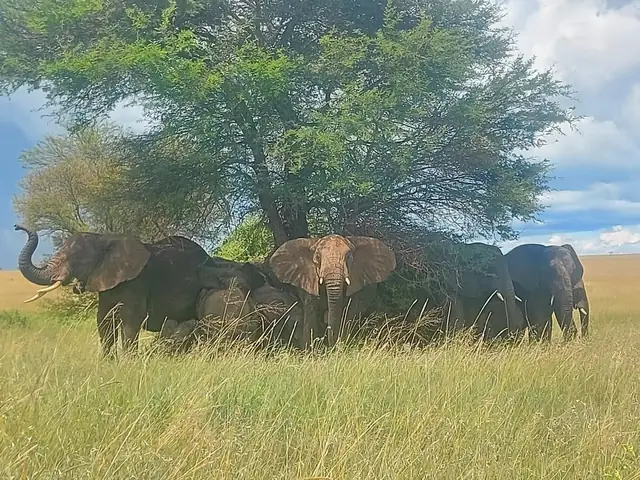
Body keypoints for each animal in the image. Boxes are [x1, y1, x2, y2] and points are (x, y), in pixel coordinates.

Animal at [15, 225, 211, 357]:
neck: (104, 239)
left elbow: (131, 320)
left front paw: (128, 362)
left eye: (79, 260)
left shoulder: (138, 282)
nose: (17, 227)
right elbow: (104, 319)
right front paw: (107, 361)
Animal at [268, 234, 397, 348]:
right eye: (318, 257)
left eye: (348, 257)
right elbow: (311, 314)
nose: (331, 347)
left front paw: (340, 348)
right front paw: (311, 351)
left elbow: (347, 314)